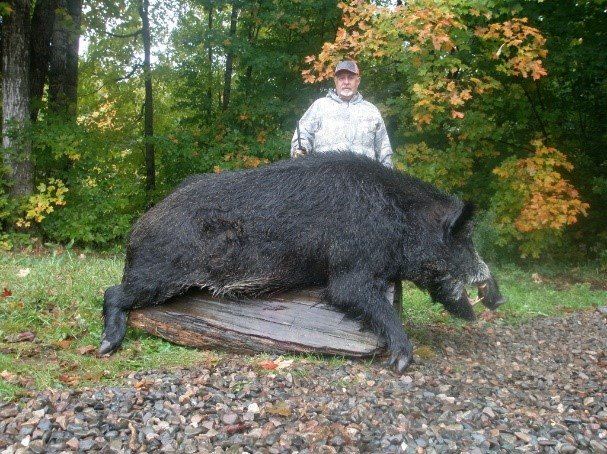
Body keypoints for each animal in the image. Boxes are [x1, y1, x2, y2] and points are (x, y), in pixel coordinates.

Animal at [100, 152, 504, 371]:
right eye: (465, 239)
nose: (499, 297)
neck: (400, 221)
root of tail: (139, 226)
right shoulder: (350, 270)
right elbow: (364, 300)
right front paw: (401, 361)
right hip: (159, 274)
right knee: (111, 292)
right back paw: (107, 347)